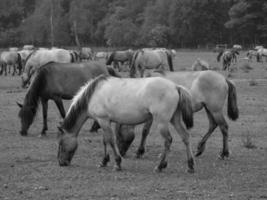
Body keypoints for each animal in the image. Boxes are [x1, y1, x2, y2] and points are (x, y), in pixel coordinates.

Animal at [57, 75, 196, 173]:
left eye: (61, 143)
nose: (61, 163)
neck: (93, 95)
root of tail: (175, 87)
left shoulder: (103, 120)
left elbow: (111, 141)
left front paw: (117, 163)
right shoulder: (104, 121)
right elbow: (105, 141)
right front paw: (104, 161)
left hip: (162, 122)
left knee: (168, 141)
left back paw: (160, 166)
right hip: (174, 119)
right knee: (185, 137)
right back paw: (190, 166)